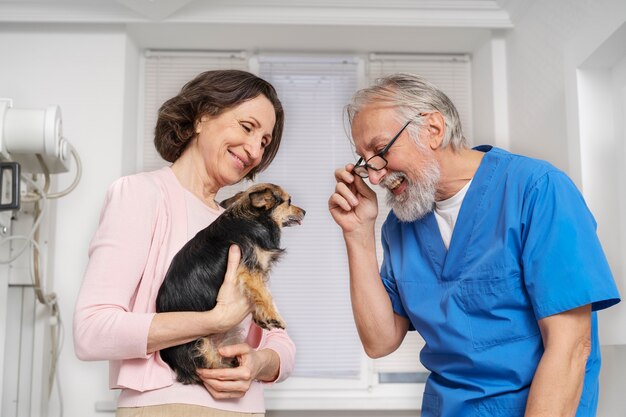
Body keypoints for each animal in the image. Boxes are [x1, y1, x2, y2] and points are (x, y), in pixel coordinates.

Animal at [155, 182, 304, 384]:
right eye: (289, 201)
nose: (304, 212)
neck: (252, 219)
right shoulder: (249, 269)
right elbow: (264, 293)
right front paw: (274, 316)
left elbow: (255, 294)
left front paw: (261, 317)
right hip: (200, 346)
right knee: (207, 367)